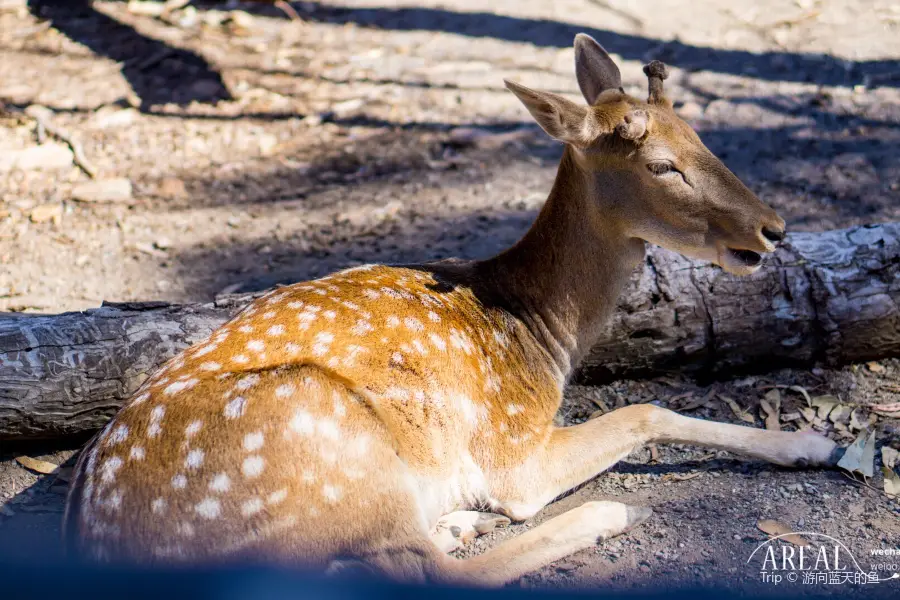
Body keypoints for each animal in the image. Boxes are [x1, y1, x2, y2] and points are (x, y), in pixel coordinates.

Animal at [65, 34, 844, 584]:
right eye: (662, 167)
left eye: (702, 140)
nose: (773, 229)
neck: (541, 332)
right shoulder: (512, 445)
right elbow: (643, 410)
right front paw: (817, 445)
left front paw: (811, 444)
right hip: (336, 447)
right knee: (430, 571)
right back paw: (601, 512)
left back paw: (457, 522)